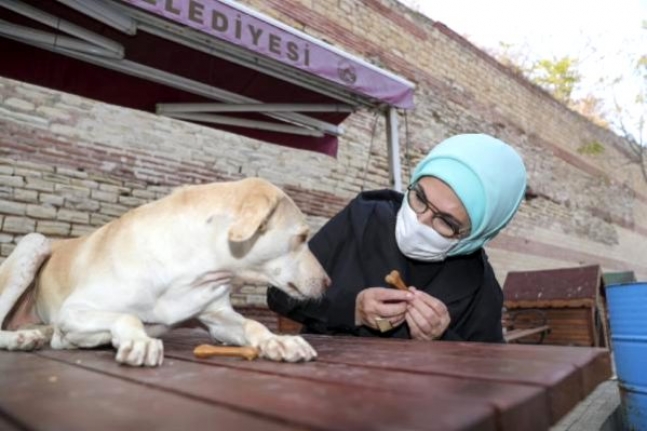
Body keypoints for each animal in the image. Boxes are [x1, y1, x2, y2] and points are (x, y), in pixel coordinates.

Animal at [0, 177, 330, 366]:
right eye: (303, 237)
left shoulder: (218, 318)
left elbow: (253, 324)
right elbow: (128, 316)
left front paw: (279, 341)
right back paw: (21, 339)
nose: (329, 283)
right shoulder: (73, 311)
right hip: (34, 242)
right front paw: (139, 341)